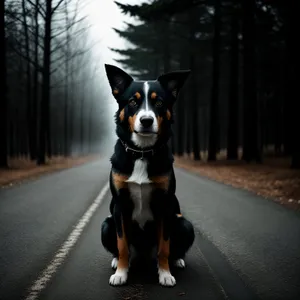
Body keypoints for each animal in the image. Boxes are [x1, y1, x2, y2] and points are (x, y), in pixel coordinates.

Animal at [101, 64, 195, 288]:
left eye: (159, 102)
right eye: (132, 102)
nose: (146, 120)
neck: (142, 152)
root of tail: (144, 256)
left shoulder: (165, 206)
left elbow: (164, 247)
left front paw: (165, 274)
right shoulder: (120, 206)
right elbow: (122, 245)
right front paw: (121, 273)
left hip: (184, 223)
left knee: (174, 247)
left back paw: (177, 260)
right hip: (106, 224)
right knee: (121, 246)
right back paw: (117, 261)